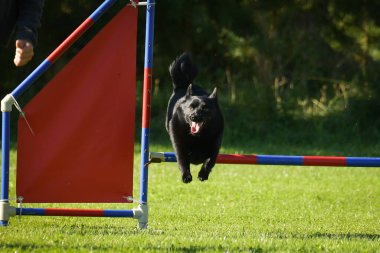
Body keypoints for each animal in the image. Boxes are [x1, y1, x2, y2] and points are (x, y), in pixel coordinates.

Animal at [166, 52, 224, 184]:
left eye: (205, 108)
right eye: (191, 107)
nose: (194, 116)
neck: (197, 137)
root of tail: (184, 84)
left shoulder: (215, 143)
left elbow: (209, 160)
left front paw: (203, 174)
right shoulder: (178, 143)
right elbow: (182, 159)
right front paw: (186, 176)